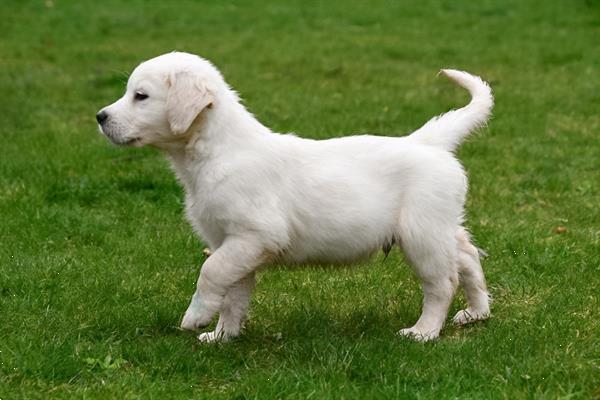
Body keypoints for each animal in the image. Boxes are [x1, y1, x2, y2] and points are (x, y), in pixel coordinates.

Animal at [97, 51, 492, 342]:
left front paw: (196, 317)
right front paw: (224, 336)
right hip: (441, 225)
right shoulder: (232, 241)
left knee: (442, 283)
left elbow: (211, 272)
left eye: (141, 96)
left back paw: (423, 332)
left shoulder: (256, 234)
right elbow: (233, 291)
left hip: (421, 233)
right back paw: (476, 312)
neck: (217, 150)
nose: (100, 116)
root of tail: (427, 141)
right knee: (468, 257)